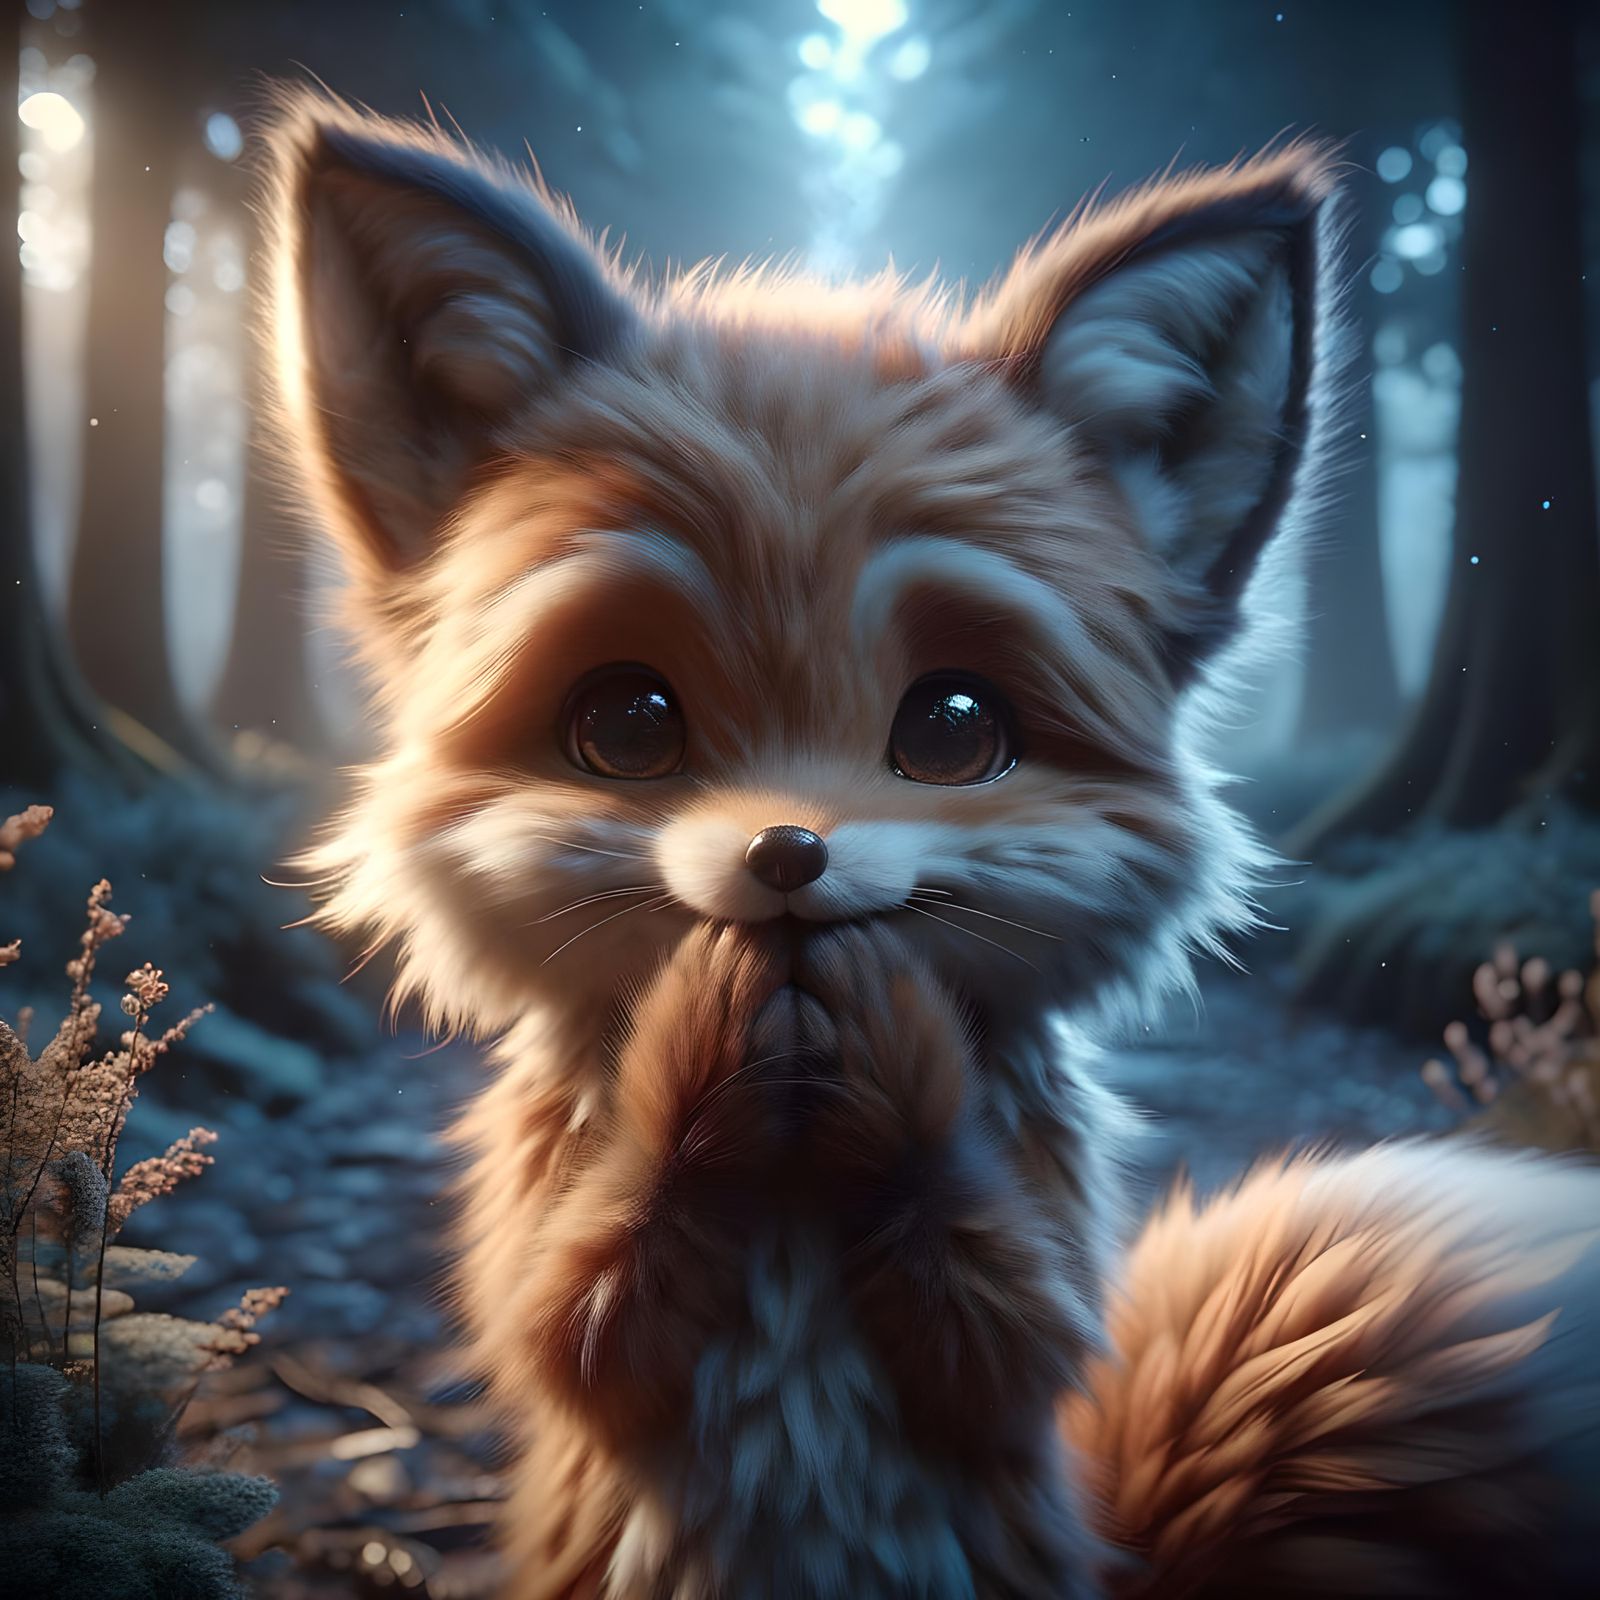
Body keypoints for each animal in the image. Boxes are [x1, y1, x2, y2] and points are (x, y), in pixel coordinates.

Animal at [260, 90, 1600, 1598]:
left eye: (954, 729)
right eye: (627, 723)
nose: (790, 853)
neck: (790, 1156)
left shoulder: (1040, 1272)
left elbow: (1002, 1320)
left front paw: (889, 1049)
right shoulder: (551, 1247)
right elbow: (577, 1322)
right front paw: (702, 1040)